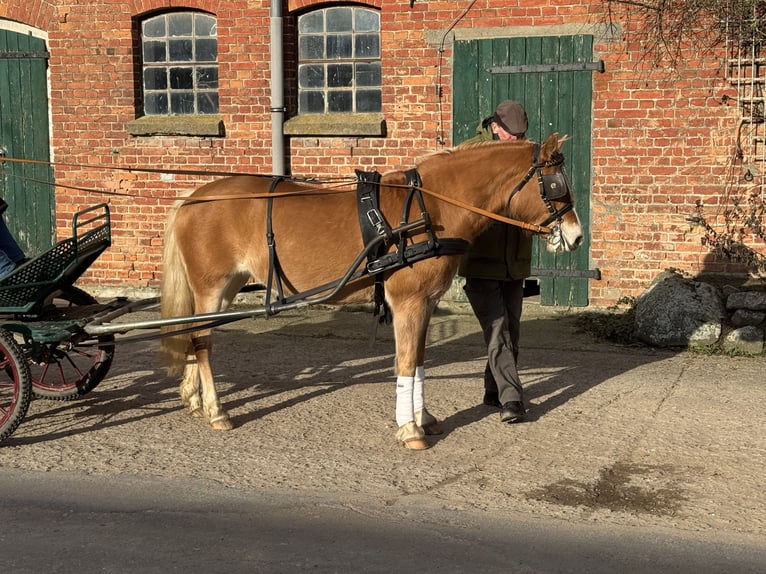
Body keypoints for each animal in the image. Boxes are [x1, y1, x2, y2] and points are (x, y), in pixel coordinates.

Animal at [159, 134, 584, 450]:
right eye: (556, 184)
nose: (577, 236)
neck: (429, 209)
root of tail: (193, 197)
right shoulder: (409, 303)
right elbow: (406, 362)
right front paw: (410, 429)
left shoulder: (426, 303)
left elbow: (419, 361)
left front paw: (424, 418)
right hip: (212, 287)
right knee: (202, 342)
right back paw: (216, 410)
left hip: (225, 289)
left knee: (193, 334)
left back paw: (193, 398)